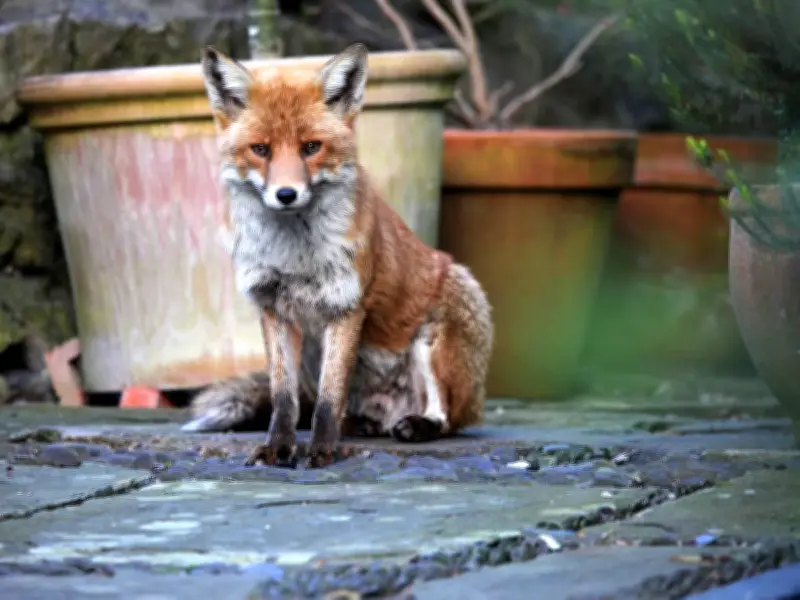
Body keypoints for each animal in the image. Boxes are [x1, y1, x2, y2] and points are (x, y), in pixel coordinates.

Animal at [182, 42, 494, 469]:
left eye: (311, 147)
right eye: (260, 150)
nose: (286, 194)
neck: (294, 255)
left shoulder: (345, 306)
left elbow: (329, 399)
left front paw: (322, 450)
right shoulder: (273, 308)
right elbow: (284, 400)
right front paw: (279, 447)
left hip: (442, 325)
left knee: (447, 416)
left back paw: (416, 426)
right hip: (312, 356)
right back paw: (361, 425)